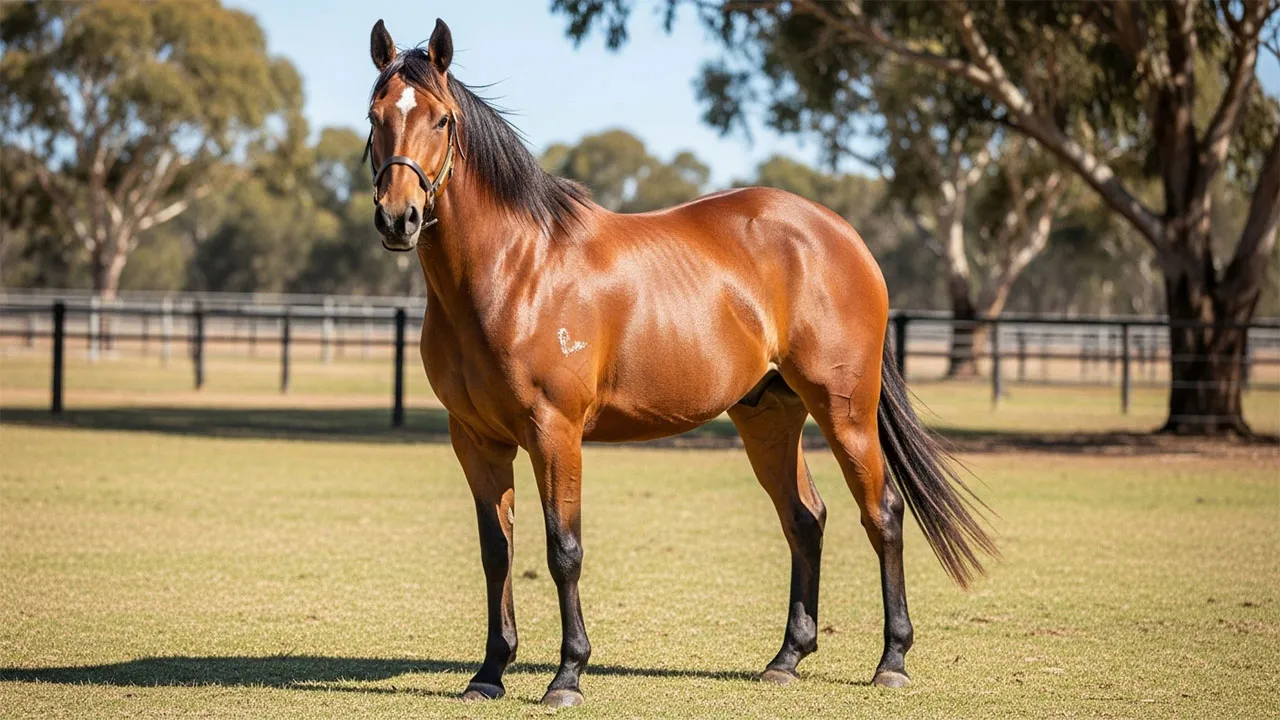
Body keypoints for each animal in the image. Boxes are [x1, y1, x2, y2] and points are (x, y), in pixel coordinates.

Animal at [363, 18, 997, 708]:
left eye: (442, 119)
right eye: (375, 116)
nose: (398, 218)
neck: (514, 270)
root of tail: (842, 235)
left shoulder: (555, 434)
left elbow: (564, 550)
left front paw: (567, 676)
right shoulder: (476, 440)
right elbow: (495, 553)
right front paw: (488, 673)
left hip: (845, 410)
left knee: (881, 513)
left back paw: (892, 661)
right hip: (769, 417)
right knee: (805, 519)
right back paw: (786, 659)